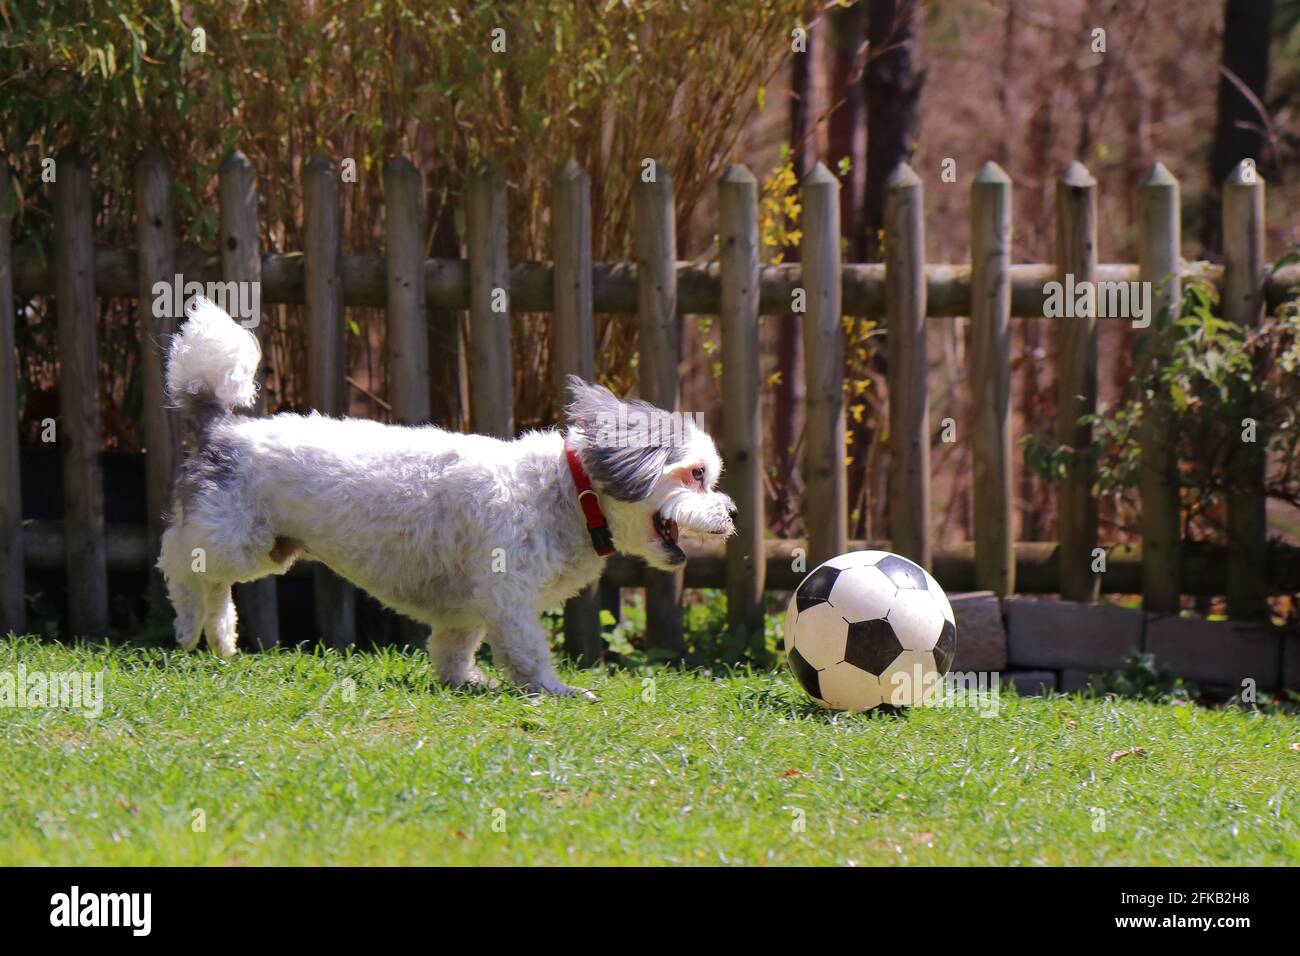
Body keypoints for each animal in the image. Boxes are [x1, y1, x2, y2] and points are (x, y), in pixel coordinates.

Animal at [157, 295, 738, 697]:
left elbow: (454, 645)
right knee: (178, 559)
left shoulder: (470, 604)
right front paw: (559, 691)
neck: (568, 494)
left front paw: (465, 681)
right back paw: (186, 627)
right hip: (237, 537)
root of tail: (224, 429)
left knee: (213, 582)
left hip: (265, 547)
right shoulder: (509, 595)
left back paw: (221, 637)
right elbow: (527, 654)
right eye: (697, 475)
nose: (731, 511)